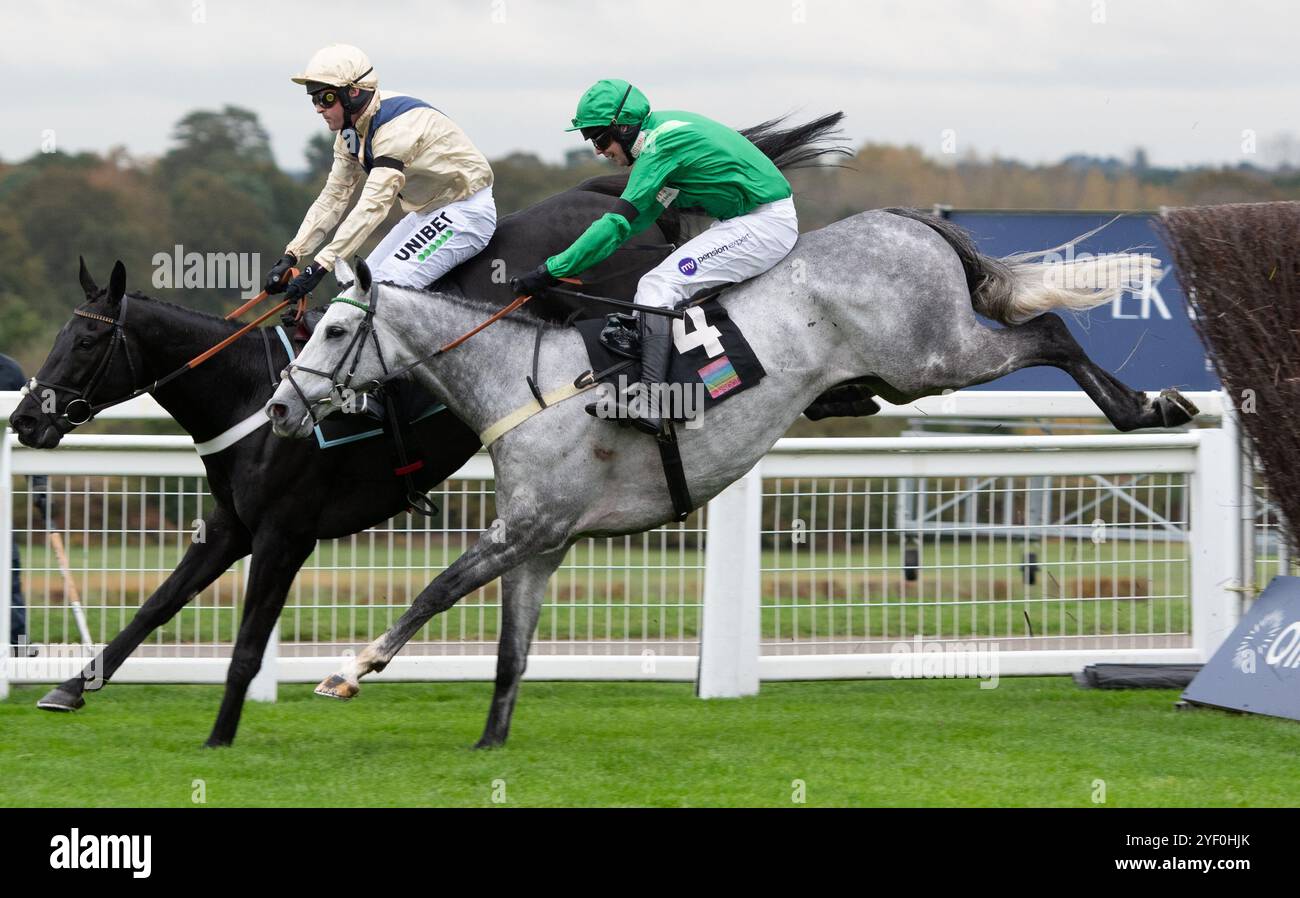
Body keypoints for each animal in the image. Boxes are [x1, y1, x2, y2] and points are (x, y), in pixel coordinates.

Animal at [261, 206, 1196, 748]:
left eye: (335, 333)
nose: (278, 408)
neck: (522, 383)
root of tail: (908, 220)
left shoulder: (525, 528)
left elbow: (435, 591)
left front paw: (349, 669)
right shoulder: (543, 543)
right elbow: (510, 656)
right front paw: (489, 748)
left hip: (936, 356)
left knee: (1051, 332)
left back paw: (1149, 406)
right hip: (908, 375)